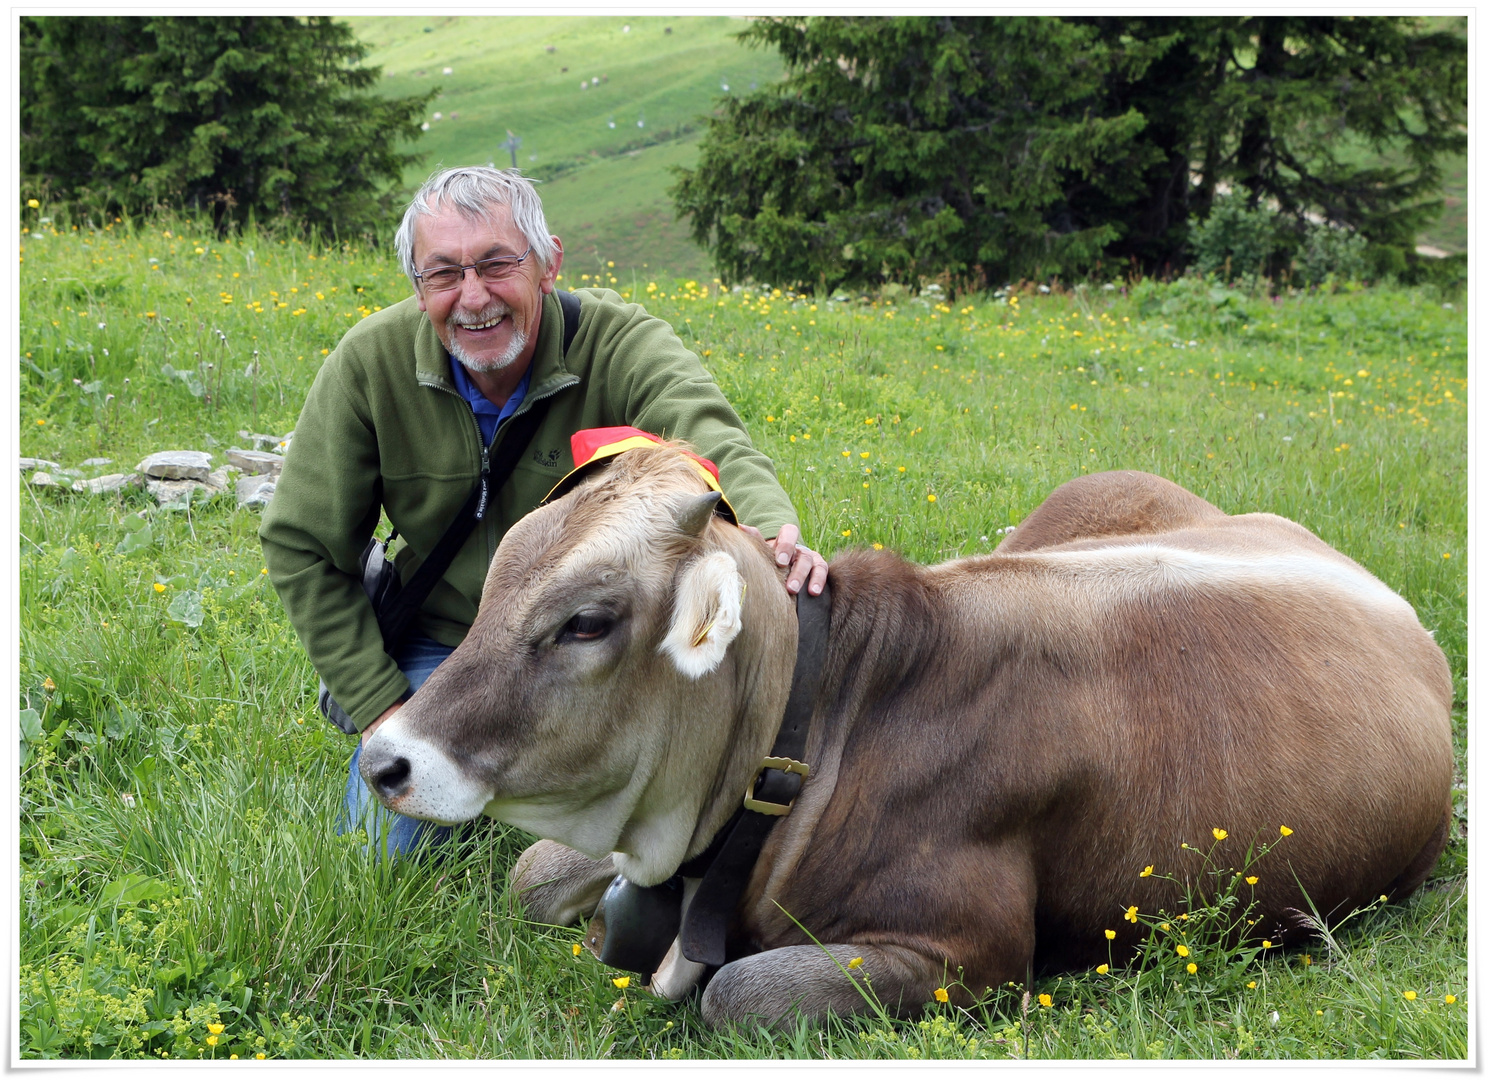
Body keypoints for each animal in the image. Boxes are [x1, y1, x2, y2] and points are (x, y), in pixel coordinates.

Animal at [360, 443, 1452, 1029]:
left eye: (585, 621)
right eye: (495, 583)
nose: (384, 758)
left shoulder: (970, 954)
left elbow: (738, 993)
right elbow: (534, 873)